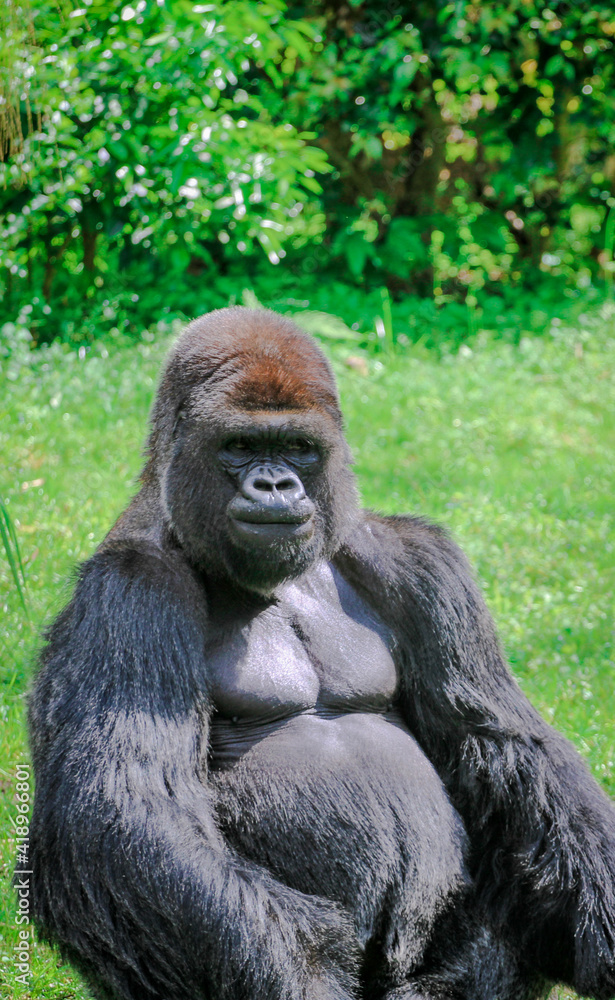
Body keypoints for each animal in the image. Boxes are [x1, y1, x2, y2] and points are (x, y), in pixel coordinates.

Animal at [27, 306, 615, 1000]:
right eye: (240, 447)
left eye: (299, 448)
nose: (276, 483)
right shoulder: (128, 592)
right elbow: (128, 803)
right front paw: (303, 975)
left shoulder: (419, 560)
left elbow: (504, 745)